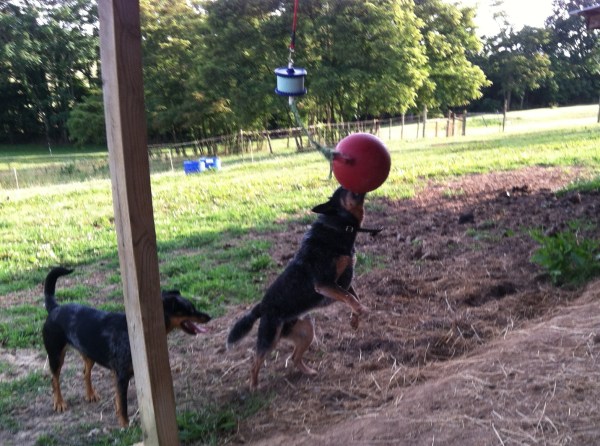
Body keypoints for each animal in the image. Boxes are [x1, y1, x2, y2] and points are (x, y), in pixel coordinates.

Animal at [42, 266, 211, 427]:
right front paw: (125, 425)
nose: (209, 316)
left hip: (89, 354)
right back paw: (59, 403)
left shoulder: (120, 375)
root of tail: (55, 308)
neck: (136, 332)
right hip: (56, 356)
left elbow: (118, 400)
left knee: (85, 372)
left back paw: (90, 394)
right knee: (54, 379)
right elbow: (123, 404)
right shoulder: (122, 376)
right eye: (189, 310)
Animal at [227, 186, 381, 389]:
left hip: (306, 331)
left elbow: (353, 298)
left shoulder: (344, 282)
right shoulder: (325, 283)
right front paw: (361, 310)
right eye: (343, 190)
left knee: (293, 357)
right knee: (255, 363)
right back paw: (254, 387)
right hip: (270, 338)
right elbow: (350, 298)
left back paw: (309, 372)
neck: (339, 226)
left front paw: (355, 320)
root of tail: (261, 307)